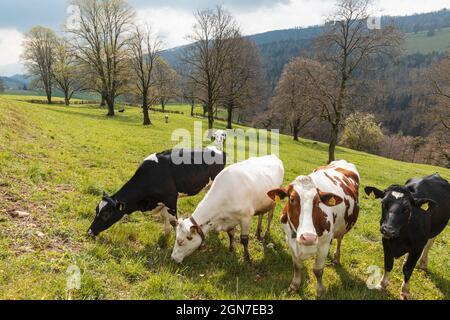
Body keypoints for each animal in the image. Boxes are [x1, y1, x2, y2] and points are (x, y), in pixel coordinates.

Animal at [88, 149, 227, 236]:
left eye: (106, 215)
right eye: (96, 210)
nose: (89, 232)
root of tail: (219, 151)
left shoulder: (171, 199)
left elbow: (173, 221)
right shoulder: (163, 202)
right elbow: (165, 217)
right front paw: (166, 234)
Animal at [268, 160, 358, 298]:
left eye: (317, 201)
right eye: (292, 199)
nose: (308, 238)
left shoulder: (323, 245)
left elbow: (318, 270)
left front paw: (320, 291)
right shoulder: (290, 241)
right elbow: (297, 266)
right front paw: (294, 286)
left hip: (343, 227)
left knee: (339, 239)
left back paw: (336, 258)